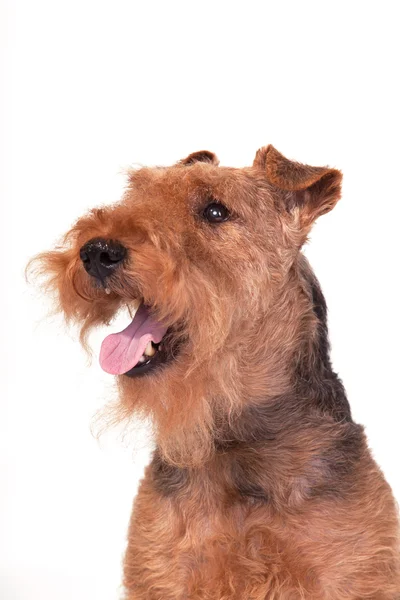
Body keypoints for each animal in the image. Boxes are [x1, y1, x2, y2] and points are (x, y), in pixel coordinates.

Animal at [32, 146, 400, 600]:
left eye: (215, 210)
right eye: (136, 194)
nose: (97, 251)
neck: (236, 440)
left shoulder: (354, 576)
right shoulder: (161, 575)